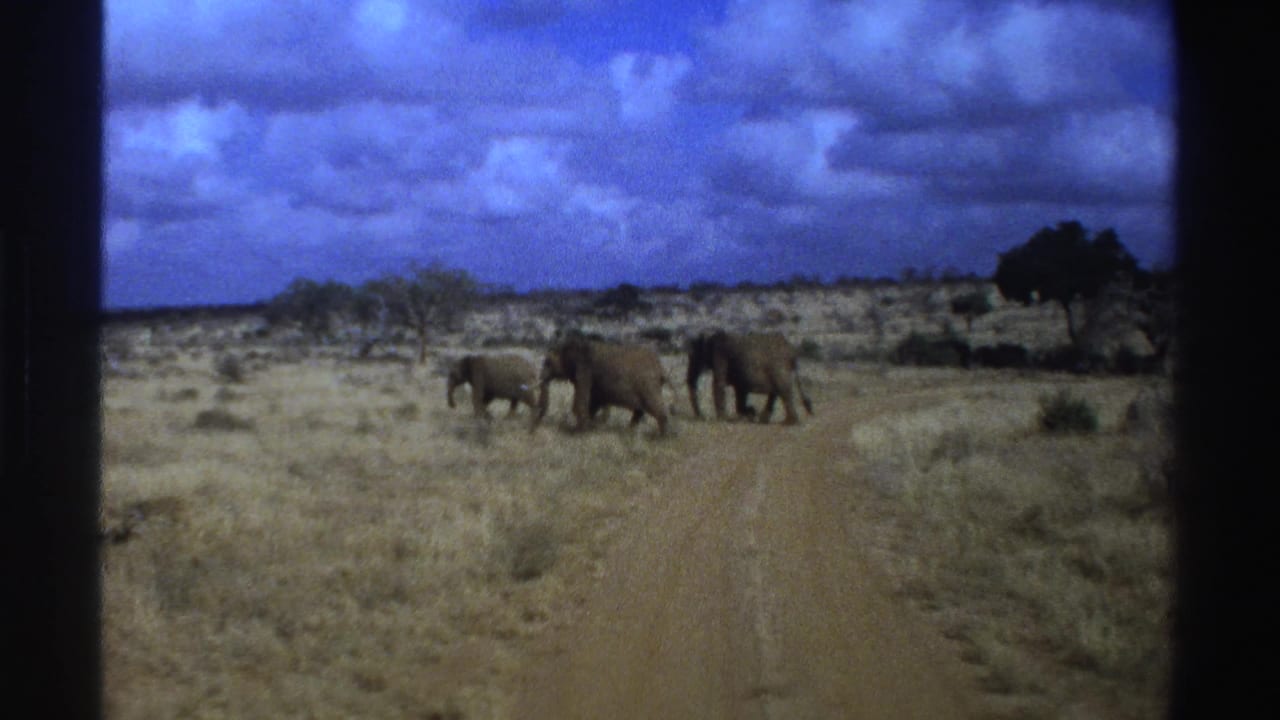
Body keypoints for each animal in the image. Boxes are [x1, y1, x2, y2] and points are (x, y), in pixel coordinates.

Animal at [531, 338, 669, 435]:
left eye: (548, 363)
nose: (534, 428)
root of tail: (661, 369)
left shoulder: (584, 371)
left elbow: (581, 402)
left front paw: (578, 432)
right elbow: (593, 402)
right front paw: (588, 427)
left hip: (648, 385)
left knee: (655, 409)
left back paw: (662, 437)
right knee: (639, 412)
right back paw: (629, 431)